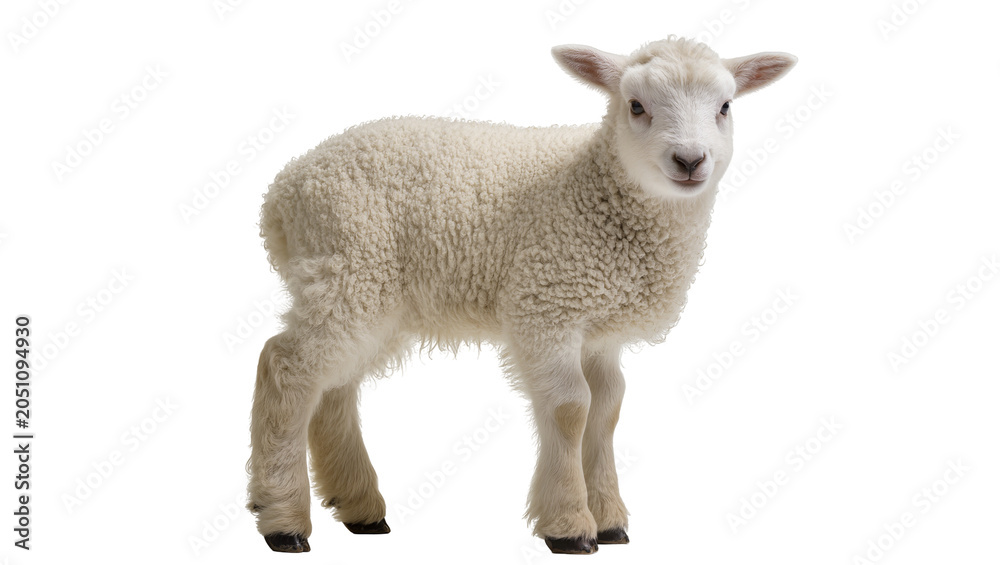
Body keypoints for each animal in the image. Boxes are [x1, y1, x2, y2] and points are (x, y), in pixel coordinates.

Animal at [247, 36, 796, 554]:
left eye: (725, 106)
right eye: (636, 106)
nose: (689, 160)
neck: (595, 188)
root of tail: (282, 193)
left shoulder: (600, 329)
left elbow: (607, 409)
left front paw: (610, 519)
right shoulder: (546, 303)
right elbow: (572, 409)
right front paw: (570, 525)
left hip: (372, 294)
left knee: (335, 386)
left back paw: (359, 506)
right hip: (349, 265)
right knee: (287, 368)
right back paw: (283, 520)